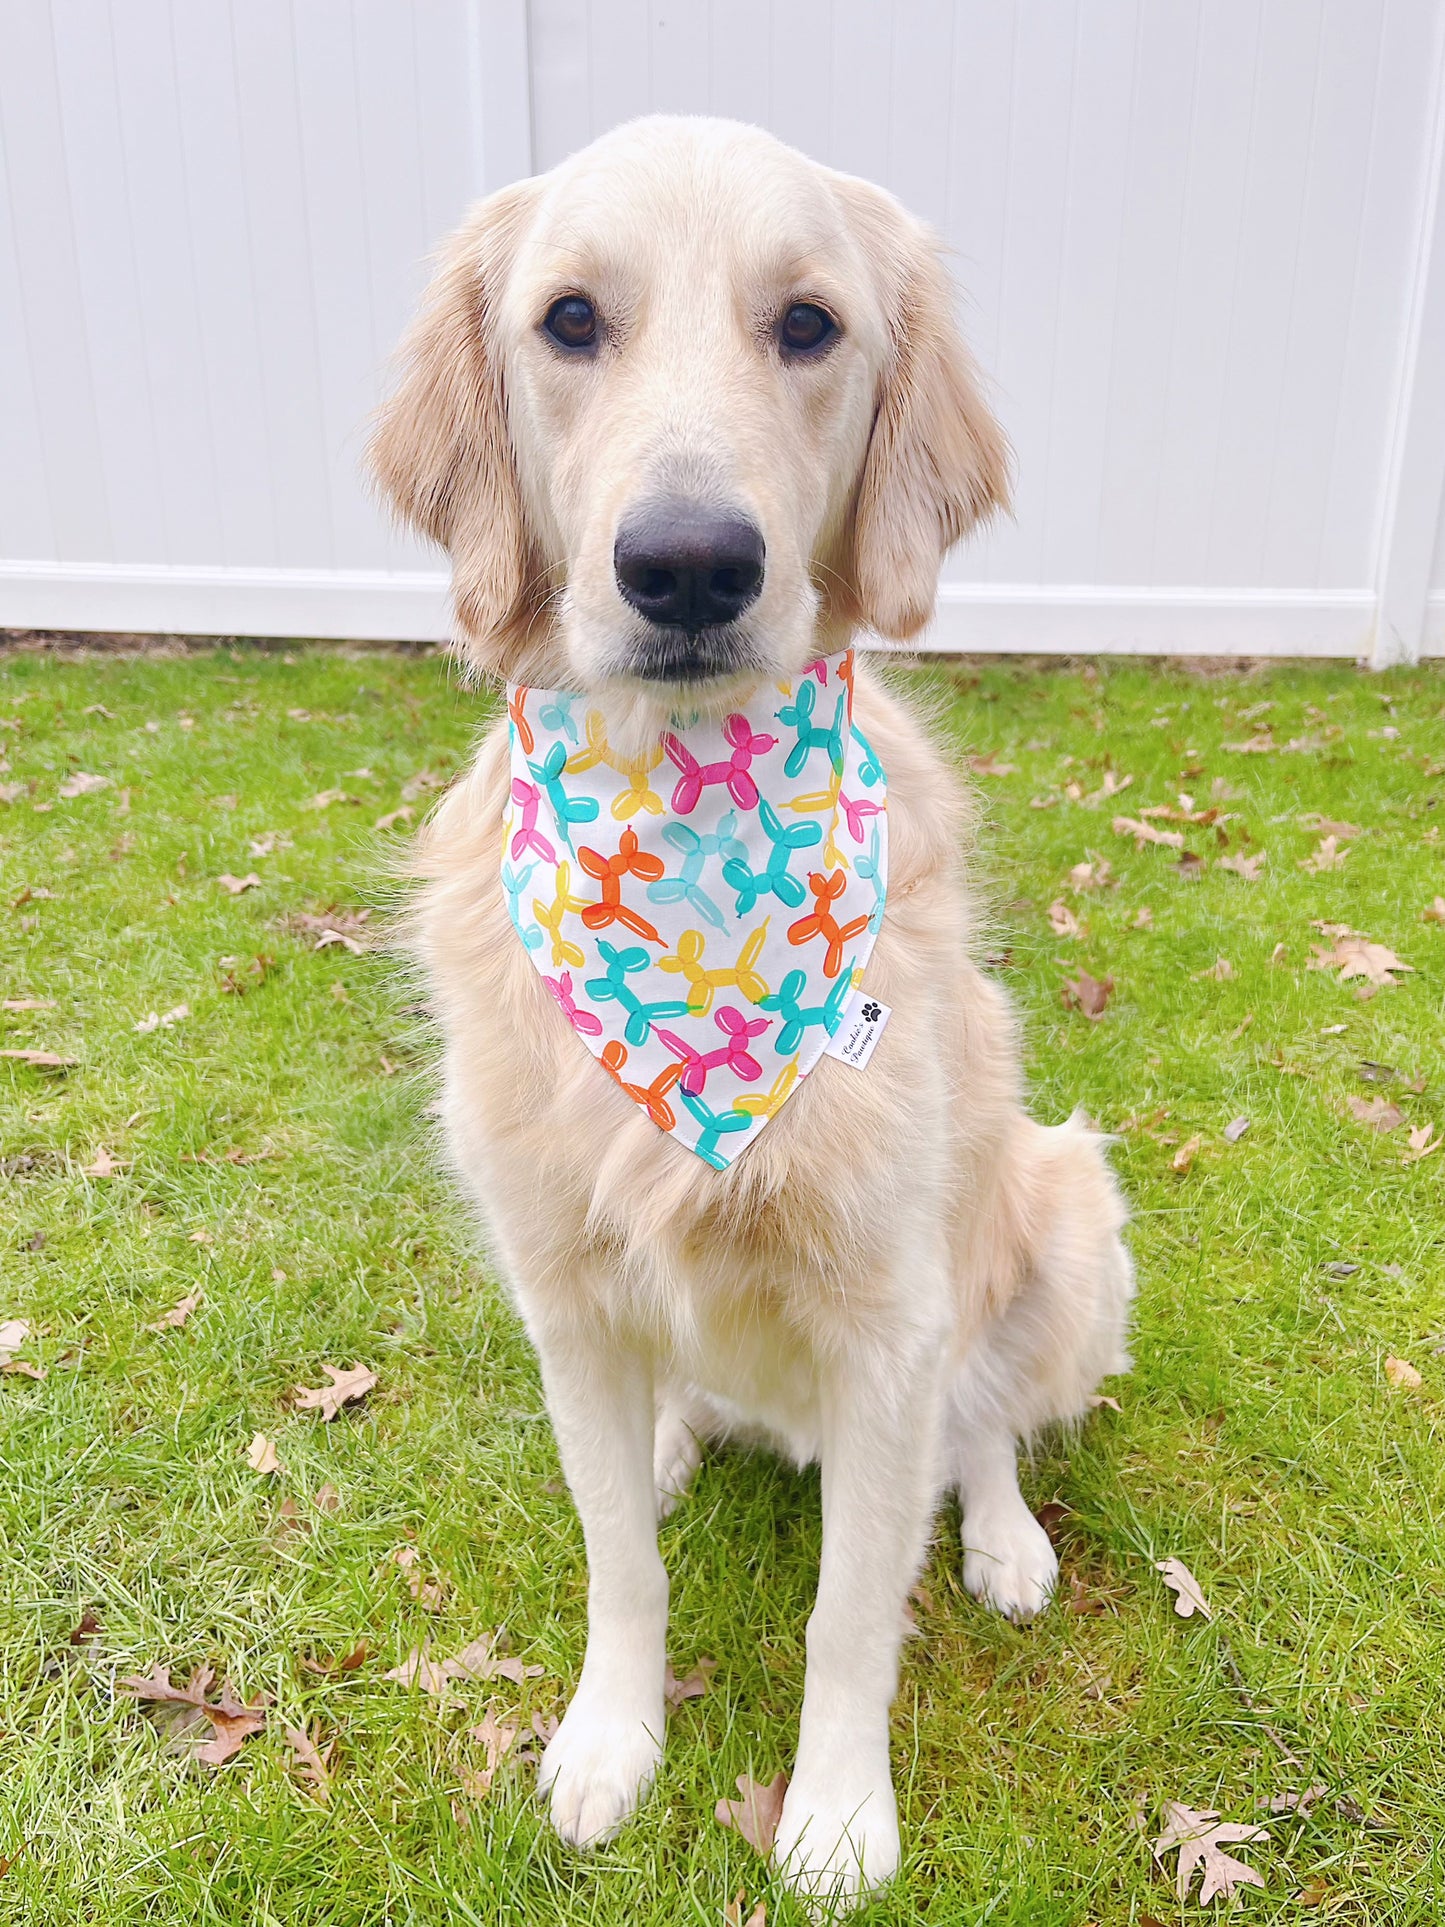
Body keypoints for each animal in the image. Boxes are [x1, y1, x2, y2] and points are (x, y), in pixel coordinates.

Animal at [369, 120, 1132, 1911]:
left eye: (807, 326)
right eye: (570, 321)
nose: (689, 564)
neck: (688, 810)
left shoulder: (890, 1322)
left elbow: (853, 1612)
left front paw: (841, 1817)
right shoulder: (563, 1290)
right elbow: (618, 1562)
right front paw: (609, 1740)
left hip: (1065, 1208)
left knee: (991, 1424)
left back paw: (1004, 1535)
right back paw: (673, 1436)